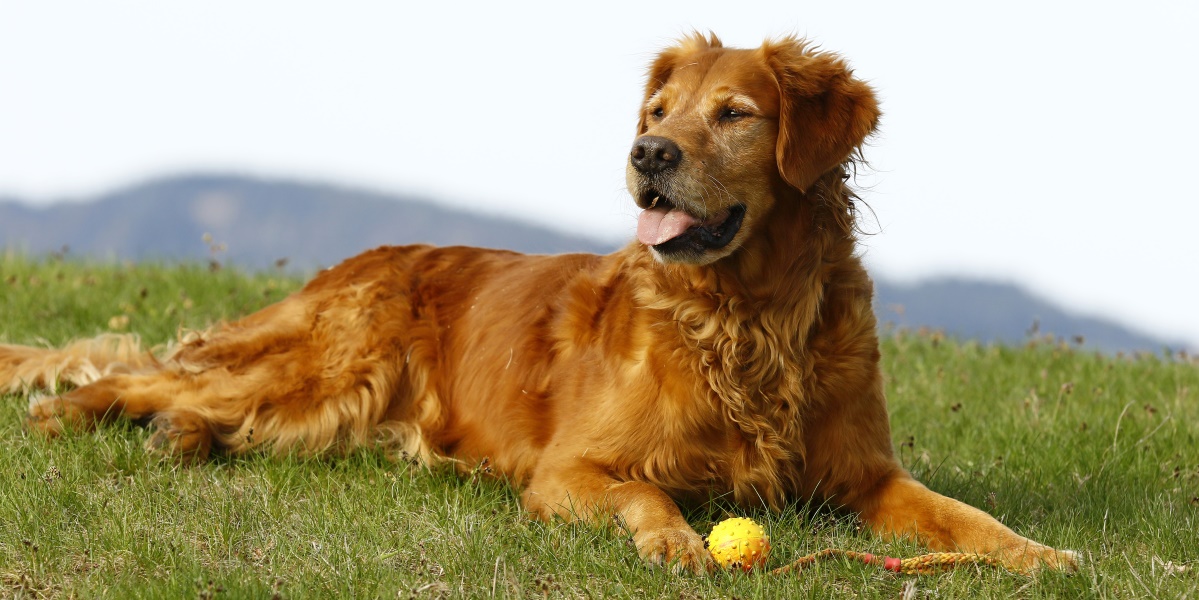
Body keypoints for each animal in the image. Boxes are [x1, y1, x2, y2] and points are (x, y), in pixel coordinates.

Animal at [0, 31, 1079, 571]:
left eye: (733, 114)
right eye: (657, 111)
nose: (648, 154)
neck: (747, 316)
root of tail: (361, 258)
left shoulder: (864, 479)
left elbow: (963, 516)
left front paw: (1040, 555)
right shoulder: (569, 468)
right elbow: (644, 492)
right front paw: (677, 543)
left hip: (330, 410)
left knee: (203, 402)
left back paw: (177, 439)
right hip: (334, 369)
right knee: (158, 374)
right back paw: (76, 413)